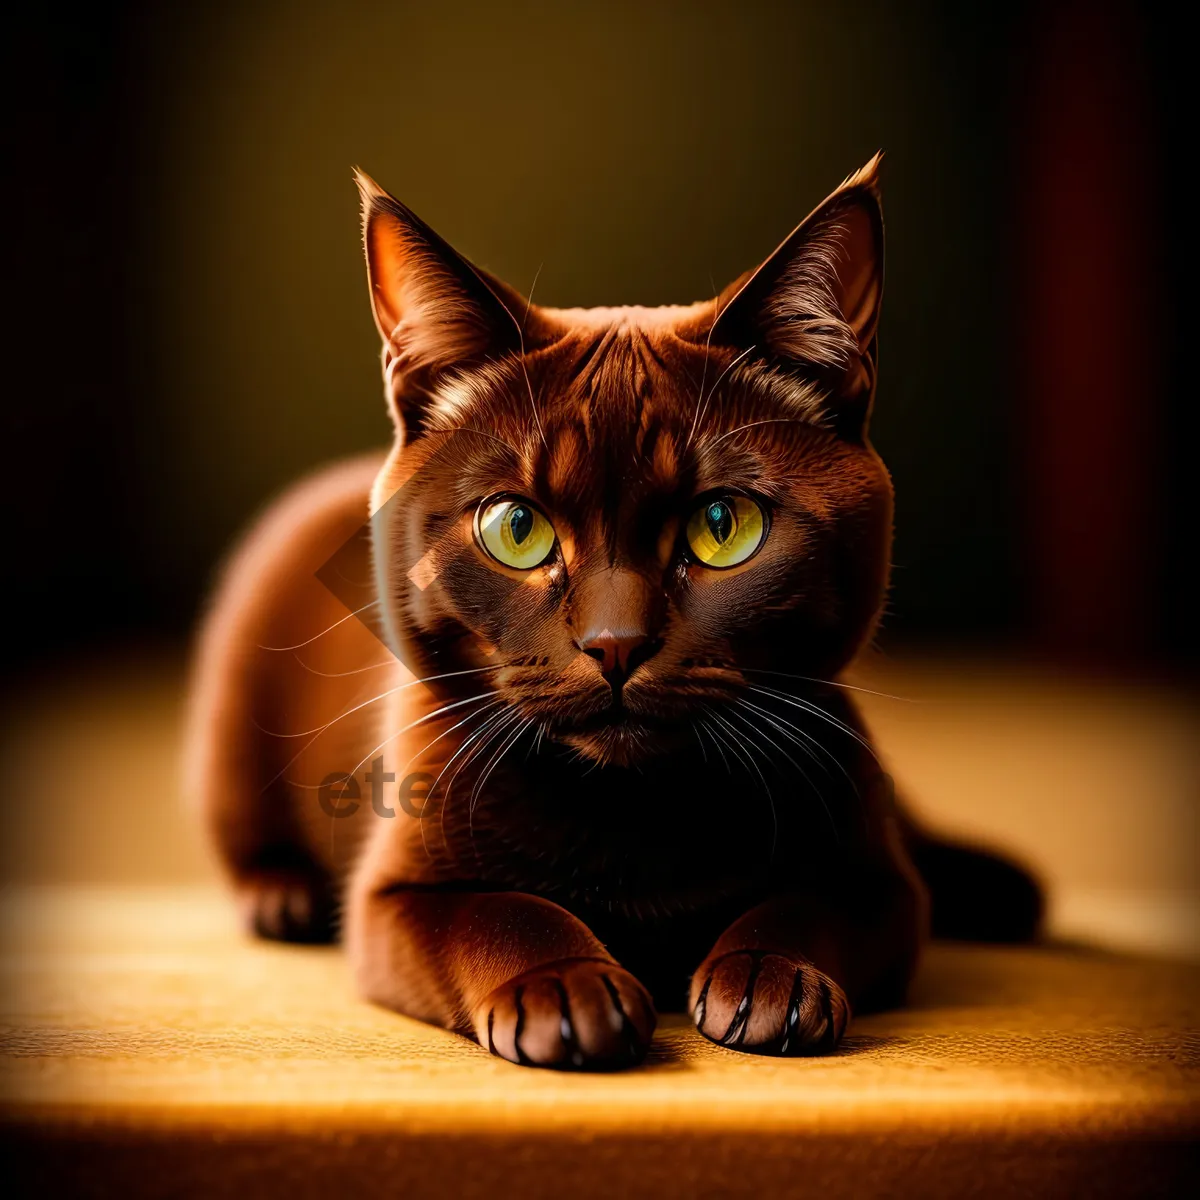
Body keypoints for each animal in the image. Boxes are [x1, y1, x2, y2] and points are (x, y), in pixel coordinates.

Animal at [187, 157, 1041, 1070]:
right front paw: (565, 988)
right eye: (517, 528)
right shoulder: (396, 895)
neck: (633, 811)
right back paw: (281, 895)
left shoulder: (877, 881)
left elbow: (815, 904)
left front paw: (772, 976)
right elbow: (501, 911)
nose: (616, 643)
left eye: (723, 525)